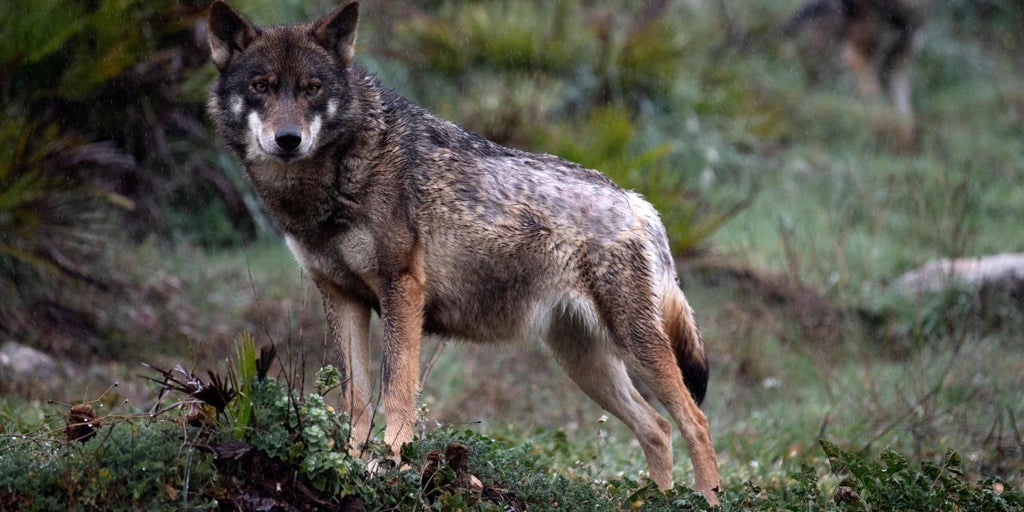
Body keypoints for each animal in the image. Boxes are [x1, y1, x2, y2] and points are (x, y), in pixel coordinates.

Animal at [207, 1, 719, 503]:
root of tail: (638, 201)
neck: (333, 179)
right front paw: (352, 465)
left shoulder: (402, 289)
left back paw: (707, 498)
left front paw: (391, 466)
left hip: (635, 347)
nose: (288, 139)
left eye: (312, 89)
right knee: (657, 428)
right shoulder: (340, 295)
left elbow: (397, 392)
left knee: (695, 422)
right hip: (584, 363)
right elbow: (356, 400)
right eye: (261, 87)